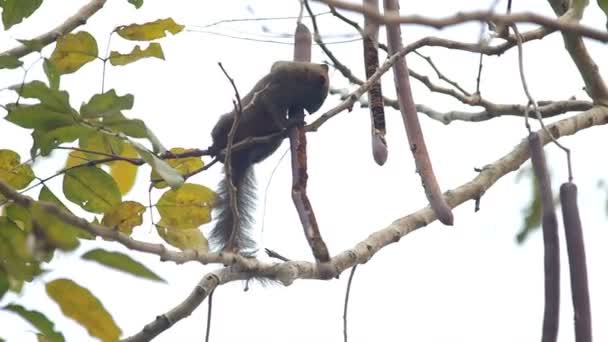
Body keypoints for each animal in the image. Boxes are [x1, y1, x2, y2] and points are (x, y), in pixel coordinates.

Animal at [210, 60, 332, 254]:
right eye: (321, 97)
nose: (313, 111)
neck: (299, 78)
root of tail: (238, 159)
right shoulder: (273, 92)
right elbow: (275, 112)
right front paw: (293, 122)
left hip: (270, 145)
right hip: (226, 123)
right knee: (218, 134)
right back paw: (215, 148)